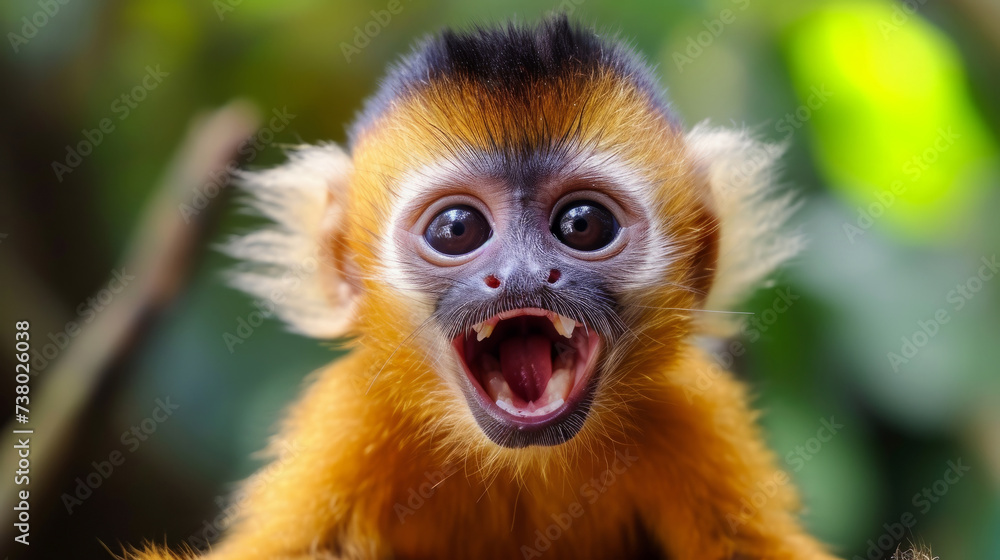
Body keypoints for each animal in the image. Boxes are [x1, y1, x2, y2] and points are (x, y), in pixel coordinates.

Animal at [128, 15, 848, 560]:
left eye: (583, 224)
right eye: (457, 229)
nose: (525, 275)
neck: (522, 463)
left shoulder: (692, 416)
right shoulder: (351, 424)